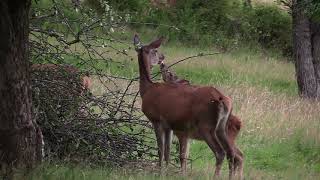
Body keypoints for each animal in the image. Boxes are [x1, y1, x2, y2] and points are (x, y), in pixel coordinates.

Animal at [134, 34, 244, 179]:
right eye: (156, 51)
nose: (162, 57)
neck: (147, 90)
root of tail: (222, 99)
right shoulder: (170, 125)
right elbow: (168, 151)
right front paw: (165, 171)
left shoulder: (156, 119)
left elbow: (160, 150)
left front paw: (160, 172)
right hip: (221, 128)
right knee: (232, 153)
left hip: (206, 125)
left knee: (221, 153)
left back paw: (216, 176)